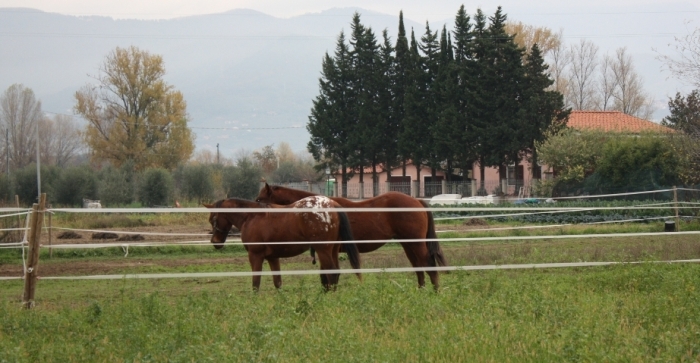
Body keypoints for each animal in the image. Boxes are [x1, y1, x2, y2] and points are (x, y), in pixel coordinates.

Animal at [204, 196, 360, 290]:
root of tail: (332, 204)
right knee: (335, 273)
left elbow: (256, 283)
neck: (251, 216)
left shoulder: (255, 256)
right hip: (333, 250)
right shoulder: (273, 257)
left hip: (323, 250)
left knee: (331, 273)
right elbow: (277, 282)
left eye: (212, 219)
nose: (215, 242)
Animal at [258, 185, 448, 290]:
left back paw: (435, 291)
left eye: (259, 199)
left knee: (428, 263)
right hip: (408, 244)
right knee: (418, 266)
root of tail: (417, 201)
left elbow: (326, 275)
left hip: (416, 243)